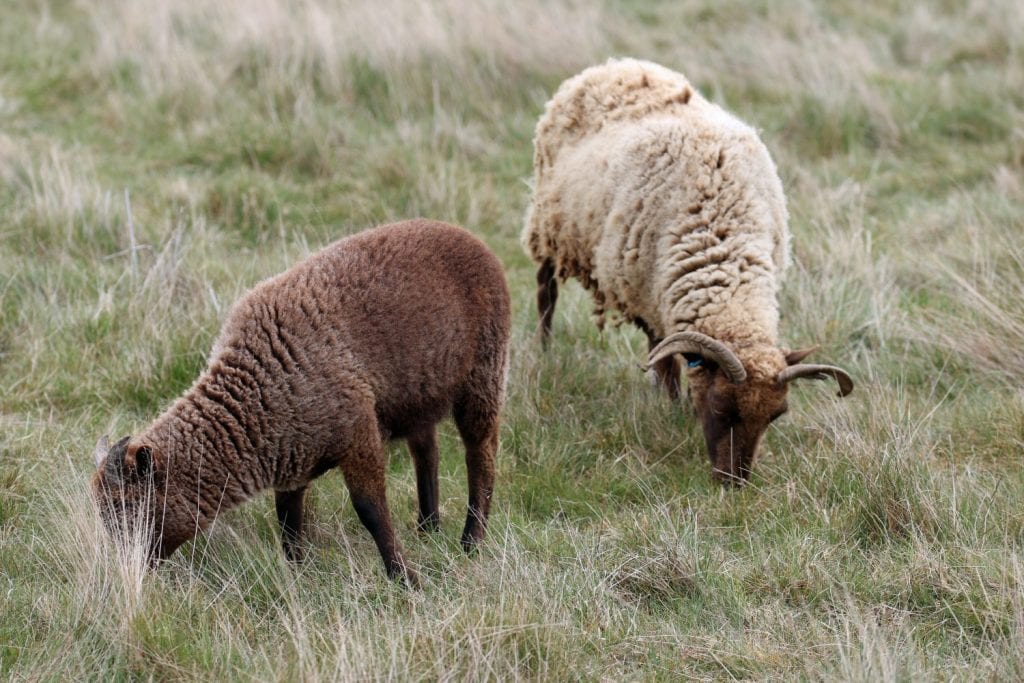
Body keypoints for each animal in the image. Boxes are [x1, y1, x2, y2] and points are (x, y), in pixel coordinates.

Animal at [92, 219, 511, 585]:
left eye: (126, 506)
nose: (127, 570)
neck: (255, 395)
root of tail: (472, 240)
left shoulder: (358, 436)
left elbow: (370, 511)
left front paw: (403, 577)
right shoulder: (291, 459)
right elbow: (288, 518)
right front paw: (297, 569)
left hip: (483, 376)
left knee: (481, 455)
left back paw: (471, 541)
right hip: (419, 397)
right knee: (427, 452)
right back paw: (429, 528)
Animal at [522, 58, 853, 484]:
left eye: (775, 417)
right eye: (722, 406)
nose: (734, 485)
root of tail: (617, 64)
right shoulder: (648, 293)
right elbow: (663, 359)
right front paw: (672, 405)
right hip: (548, 226)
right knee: (545, 290)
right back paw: (545, 348)